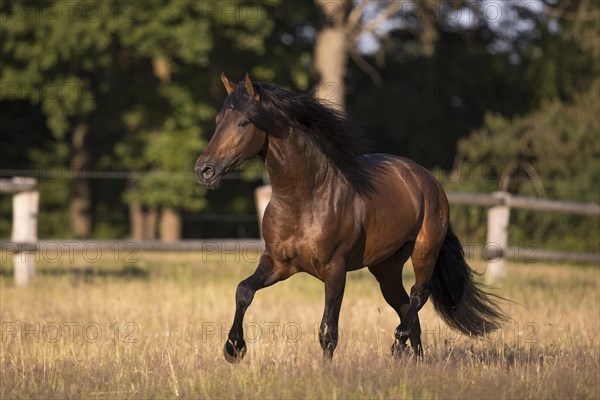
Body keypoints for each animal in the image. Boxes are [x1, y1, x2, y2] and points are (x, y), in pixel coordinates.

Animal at [196, 72, 506, 362]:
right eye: (218, 119)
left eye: (244, 122)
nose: (204, 169)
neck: (304, 198)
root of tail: (428, 181)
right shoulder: (279, 263)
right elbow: (243, 291)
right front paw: (234, 348)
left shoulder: (335, 269)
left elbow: (328, 331)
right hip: (386, 268)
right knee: (407, 307)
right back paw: (414, 360)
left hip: (424, 251)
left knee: (420, 293)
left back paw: (397, 345)